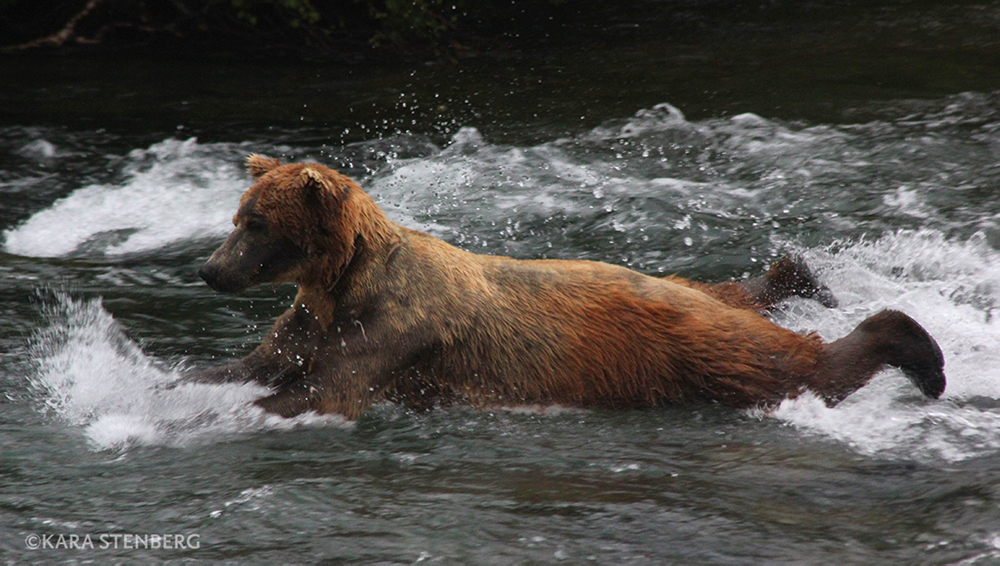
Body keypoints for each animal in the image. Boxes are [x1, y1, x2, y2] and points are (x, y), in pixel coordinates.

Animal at [190, 155, 946, 420]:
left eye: (255, 222)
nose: (209, 269)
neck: (346, 284)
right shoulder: (310, 322)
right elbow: (255, 364)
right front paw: (183, 381)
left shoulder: (400, 326)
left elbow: (325, 387)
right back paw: (800, 276)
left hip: (684, 343)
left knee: (791, 369)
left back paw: (920, 354)